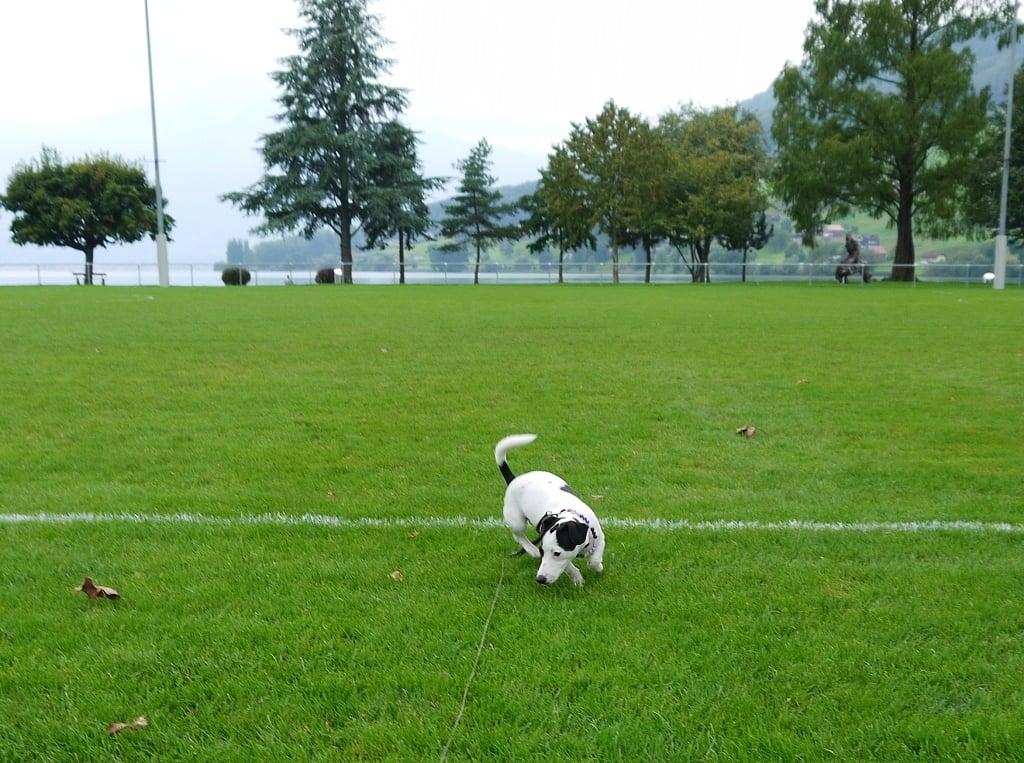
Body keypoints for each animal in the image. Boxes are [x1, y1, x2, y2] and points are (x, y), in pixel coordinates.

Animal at [494, 434, 605, 586]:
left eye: (556, 553)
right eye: (543, 551)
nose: (540, 579)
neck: (569, 515)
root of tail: (514, 479)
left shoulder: (599, 538)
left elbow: (595, 559)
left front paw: (597, 566)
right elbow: (570, 568)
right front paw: (578, 580)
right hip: (516, 519)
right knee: (518, 535)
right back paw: (531, 550)